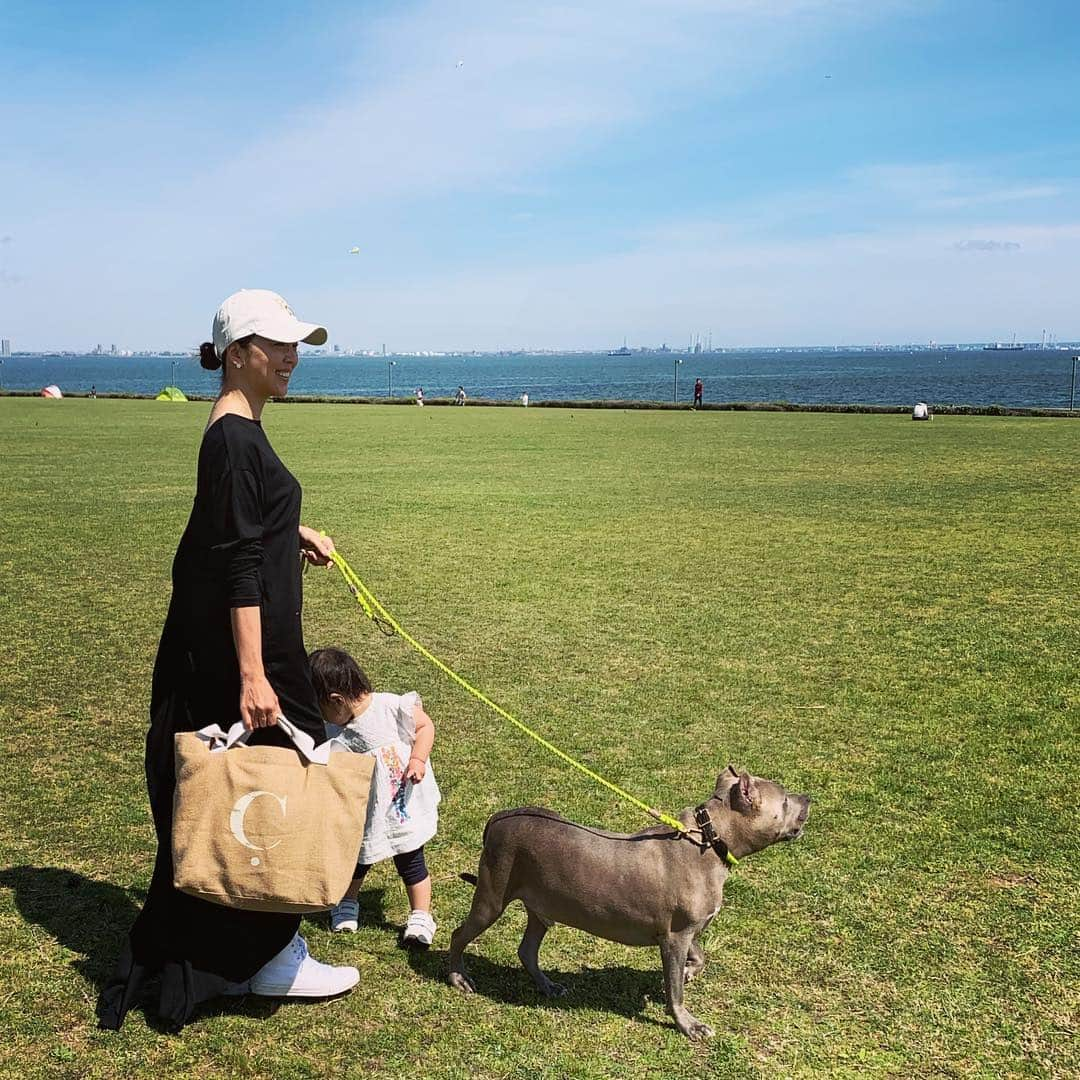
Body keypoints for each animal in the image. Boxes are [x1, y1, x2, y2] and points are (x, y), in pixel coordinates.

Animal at [447, 764, 812, 1041]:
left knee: (527, 949)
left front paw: (690, 972)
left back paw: (548, 986)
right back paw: (458, 977)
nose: (808, 797)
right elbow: (675, 990)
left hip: (541, 907)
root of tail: (500, 816)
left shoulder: (684, 931)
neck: (709, 840)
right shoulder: (675, 937)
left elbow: (699, 957)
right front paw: (688, 1024)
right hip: (492, 896)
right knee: (459, 934)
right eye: (784, 798)